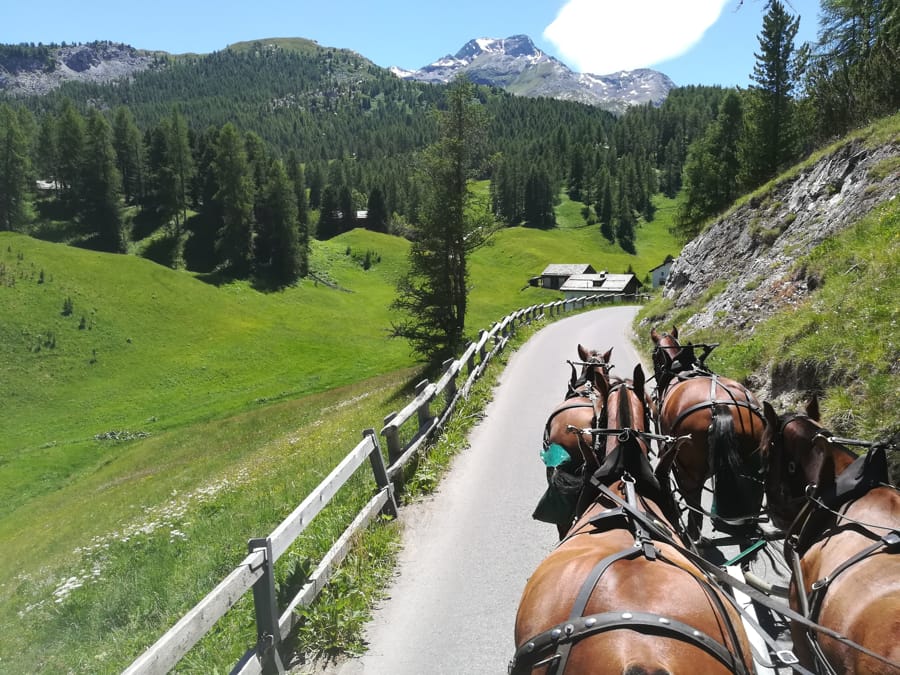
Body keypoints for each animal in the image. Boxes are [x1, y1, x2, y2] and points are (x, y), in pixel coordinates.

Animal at [650, 326, 766, 543]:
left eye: (654, 355)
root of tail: (720, 406)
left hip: (690, 473)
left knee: (693, 504)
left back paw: (694, 537)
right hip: (753, 467)